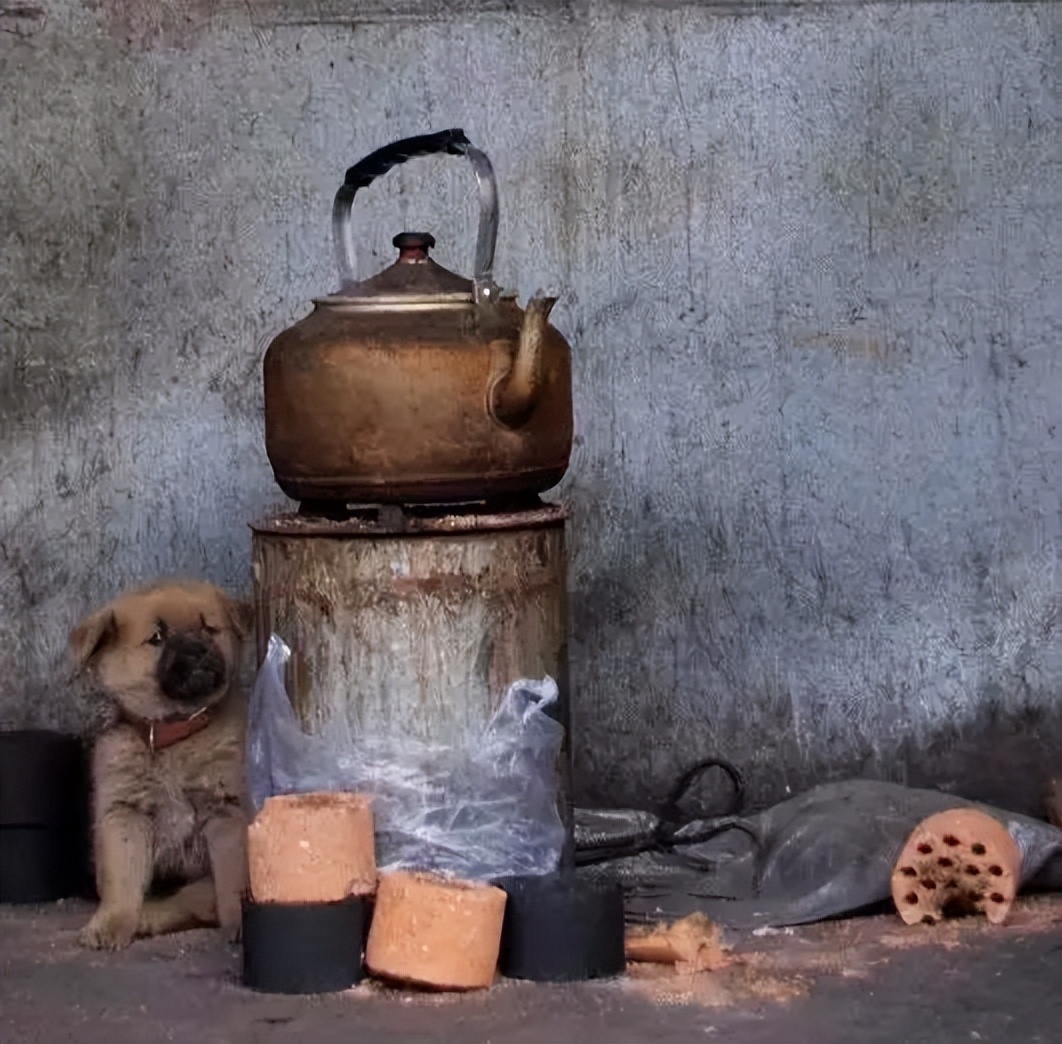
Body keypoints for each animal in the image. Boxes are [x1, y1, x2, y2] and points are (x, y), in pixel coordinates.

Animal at [70, 577, 252, 955]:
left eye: (209, 628)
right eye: (157, 638)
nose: (198, 650)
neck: (174, 734)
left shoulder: (228, 811)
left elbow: (231, 876)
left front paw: (240, 923)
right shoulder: (124, 815)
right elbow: (121, 880)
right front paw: (111, 922)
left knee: (190, 900)